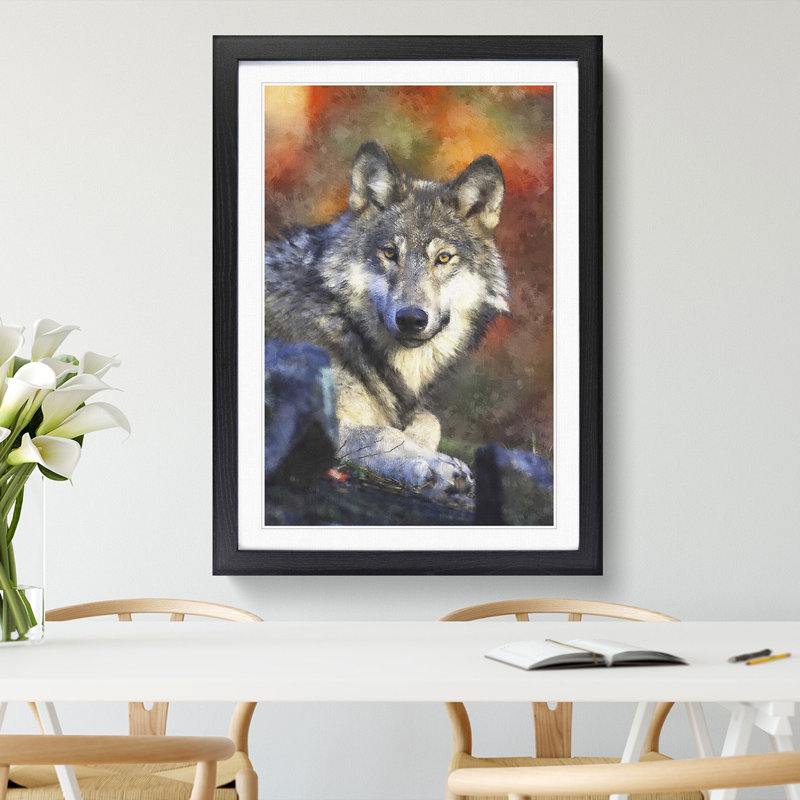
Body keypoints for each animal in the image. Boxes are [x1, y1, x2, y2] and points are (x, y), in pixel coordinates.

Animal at [264, 140, 509, 501]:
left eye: (443, 258)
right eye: (390, 253)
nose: (411, 319)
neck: (345, 323)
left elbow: (429, 420)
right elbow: (382, 433)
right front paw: (436, 466)